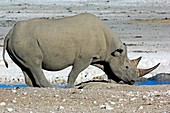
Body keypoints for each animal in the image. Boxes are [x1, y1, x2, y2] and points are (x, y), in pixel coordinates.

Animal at [2, 13, 159, 87]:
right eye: (126, 67)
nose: (133, 81)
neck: (112, 48)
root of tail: (9, 33)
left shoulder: (101, 57)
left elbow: (107, 68)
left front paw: (113, 82)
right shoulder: (84, 57)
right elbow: (75, 72)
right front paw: (70, 87)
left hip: (19, 41)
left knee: (25, 66)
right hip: (25, 40)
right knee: (35, 64)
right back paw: (50, 87)